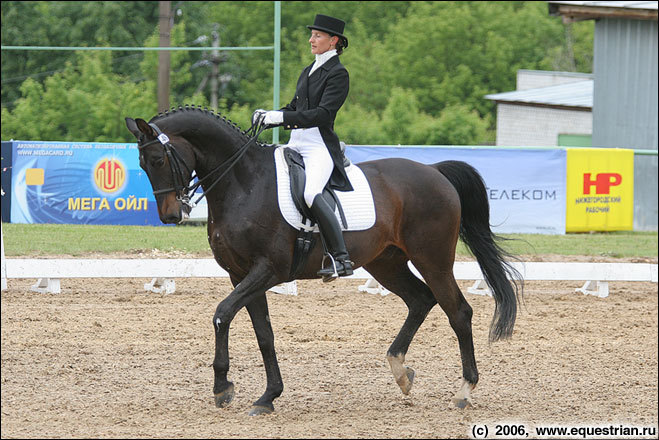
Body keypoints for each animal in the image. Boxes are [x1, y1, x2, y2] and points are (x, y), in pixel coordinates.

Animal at [126, 105, 524, 416]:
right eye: (143, 164)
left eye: (158, 160)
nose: (171, 216)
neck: (243, 183)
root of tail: (435, 171)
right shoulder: (241, 274)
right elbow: (263, 333)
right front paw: (268, 396)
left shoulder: (267, 270)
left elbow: (222, 314)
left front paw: (223, 387)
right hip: (386, 263)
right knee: (421, 300)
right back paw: (400, 371)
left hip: (434, 259)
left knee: (458, 311)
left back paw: (464, 391)